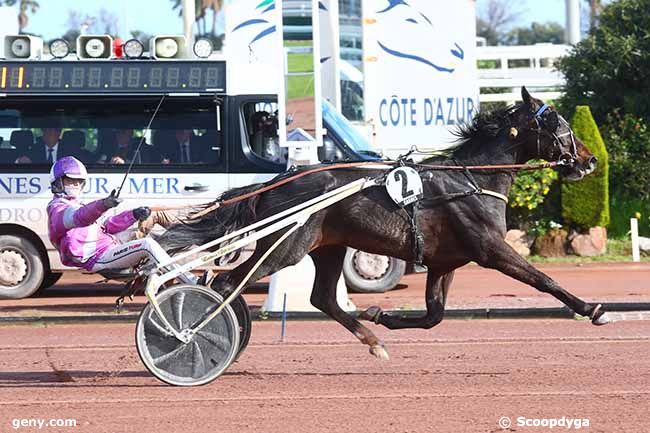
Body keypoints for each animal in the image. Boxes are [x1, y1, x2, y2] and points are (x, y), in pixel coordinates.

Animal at [158, 88, 608, 358]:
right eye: (561, 125)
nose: (589, 161)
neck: (471, 180)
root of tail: (276, 181)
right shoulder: (491, 250)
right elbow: (544, 280)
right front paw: (593, 309)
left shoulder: (443, 263)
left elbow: (433, 315)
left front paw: (382, 316)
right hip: (286, 246)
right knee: (226, 286)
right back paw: (196, 335)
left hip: (328, 247)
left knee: (322, 298)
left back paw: (373, 341)